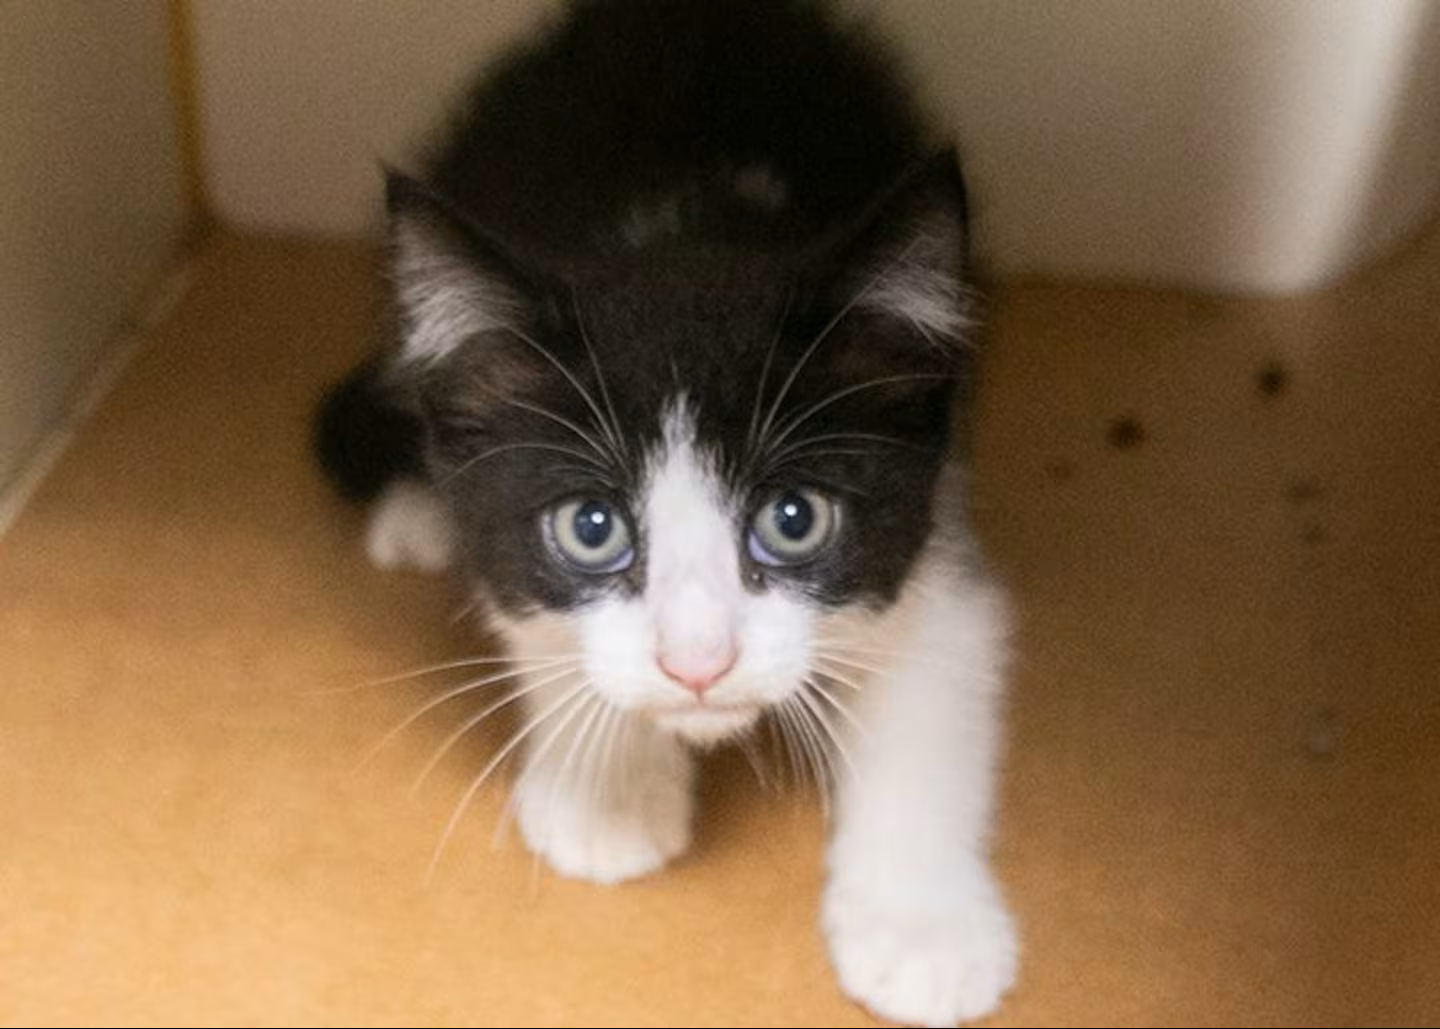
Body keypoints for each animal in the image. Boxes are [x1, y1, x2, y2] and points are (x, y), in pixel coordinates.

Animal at [315, 2, 1017, 1025]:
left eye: (794, 519)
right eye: (591, 527)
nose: (698, 664)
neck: (687, 230)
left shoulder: (937, 502)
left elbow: (942, 670)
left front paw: (923, 930)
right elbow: (526, 610)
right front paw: (604, 793)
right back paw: (418, 509)